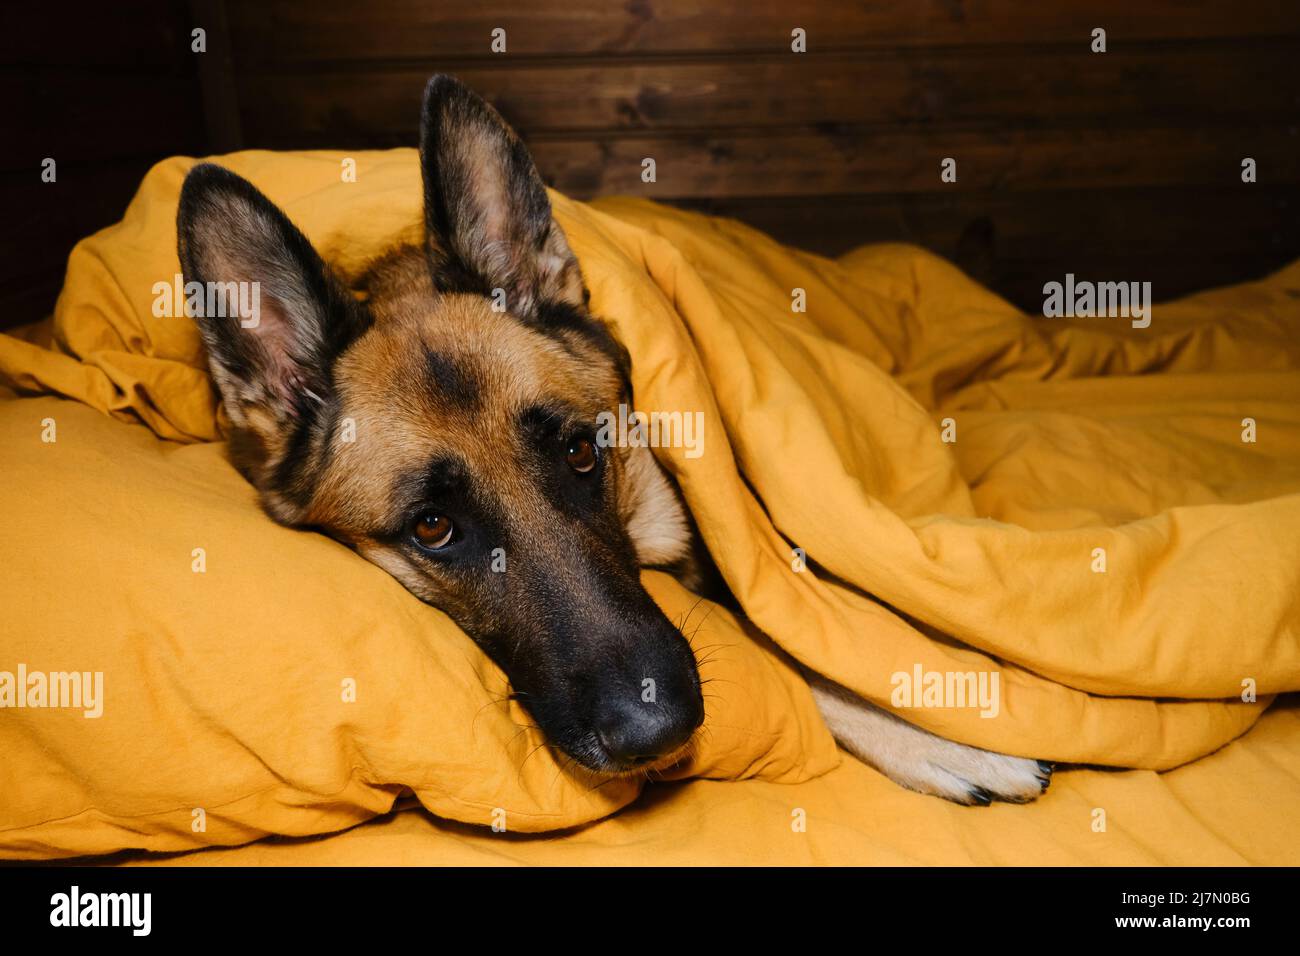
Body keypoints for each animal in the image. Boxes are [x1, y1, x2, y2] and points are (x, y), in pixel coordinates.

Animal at [175, 76, 1045, 806]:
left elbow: (794, 641)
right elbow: (780, 653)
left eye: (581, 453)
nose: (658, 731)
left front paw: (940, 729)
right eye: (433, 527)